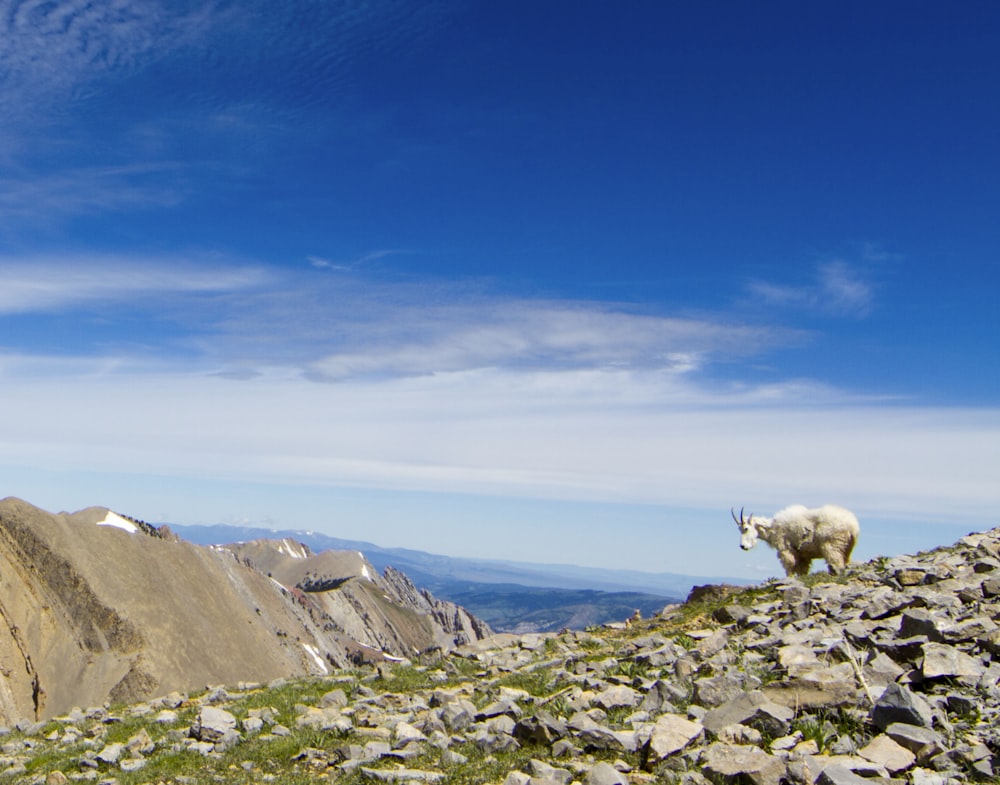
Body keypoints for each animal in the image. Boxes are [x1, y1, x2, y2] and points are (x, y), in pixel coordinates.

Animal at [732, 502, 864, 576]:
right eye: (739, 529)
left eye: (746, 528)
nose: (743, 546)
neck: (773, 528)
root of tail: (853, 526)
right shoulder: (803, 556)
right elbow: (802, 572)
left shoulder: (785, 550)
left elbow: (789, 569)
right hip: (846, 549)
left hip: (832, 547)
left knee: (837, 565)